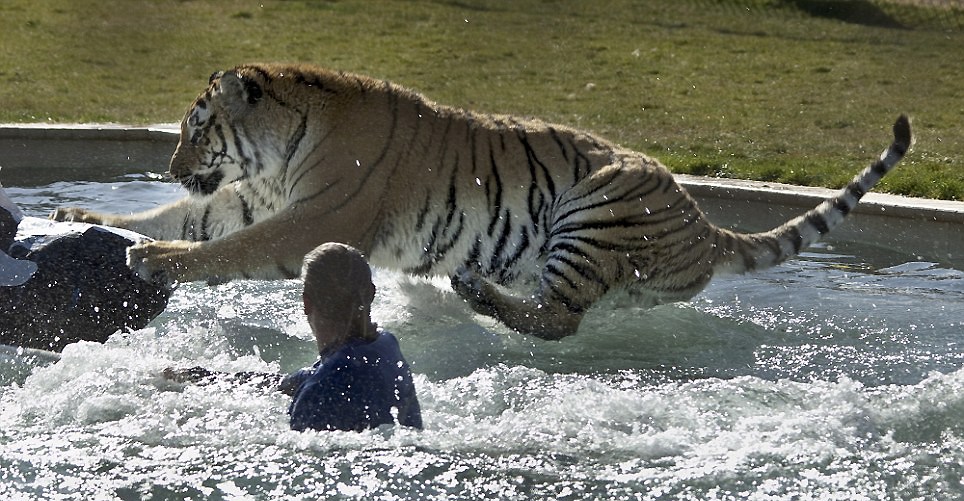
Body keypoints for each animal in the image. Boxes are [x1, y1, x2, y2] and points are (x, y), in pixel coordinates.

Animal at [50, 62, 912, 340]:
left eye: (196, 129)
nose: (172, 163)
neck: (286, 140)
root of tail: (704, 222)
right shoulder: (255, 197)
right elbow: (189, 218)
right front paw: (85, 216)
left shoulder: (308, 220)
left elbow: (219, 246)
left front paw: (153, 256)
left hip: (594, 209)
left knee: (560, 321)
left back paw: (476, 290)